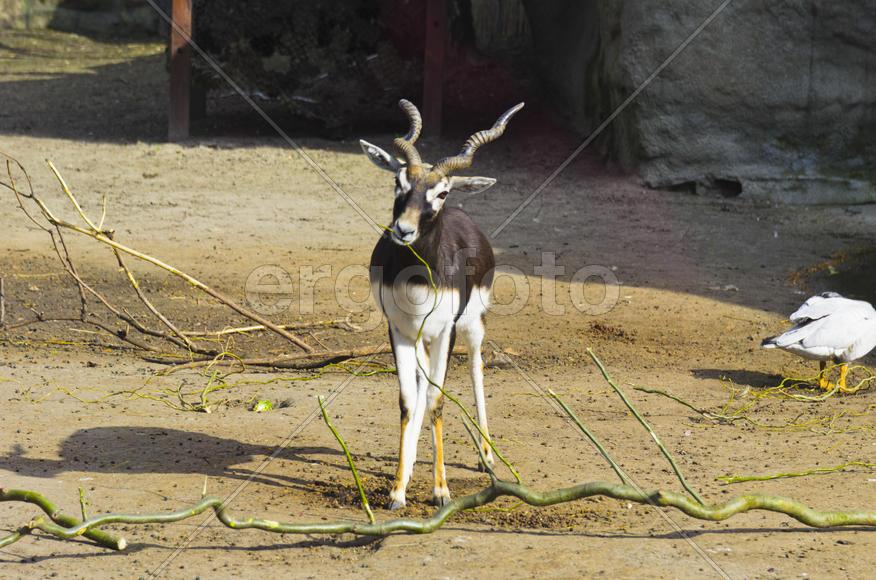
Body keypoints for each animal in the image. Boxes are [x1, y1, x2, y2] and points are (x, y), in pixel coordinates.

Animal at [361, 99, 523, 509]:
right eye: (399, 182)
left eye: (442, 192)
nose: (403, 230)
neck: (417, 278)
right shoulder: (399, 330)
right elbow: (408, 399)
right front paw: (398, 489)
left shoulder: (447, 330)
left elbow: (437, 400)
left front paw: (441, 490)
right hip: (423, 337)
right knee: (421, 385)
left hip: (471, 326)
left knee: (476, 370)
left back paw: (486, 455)